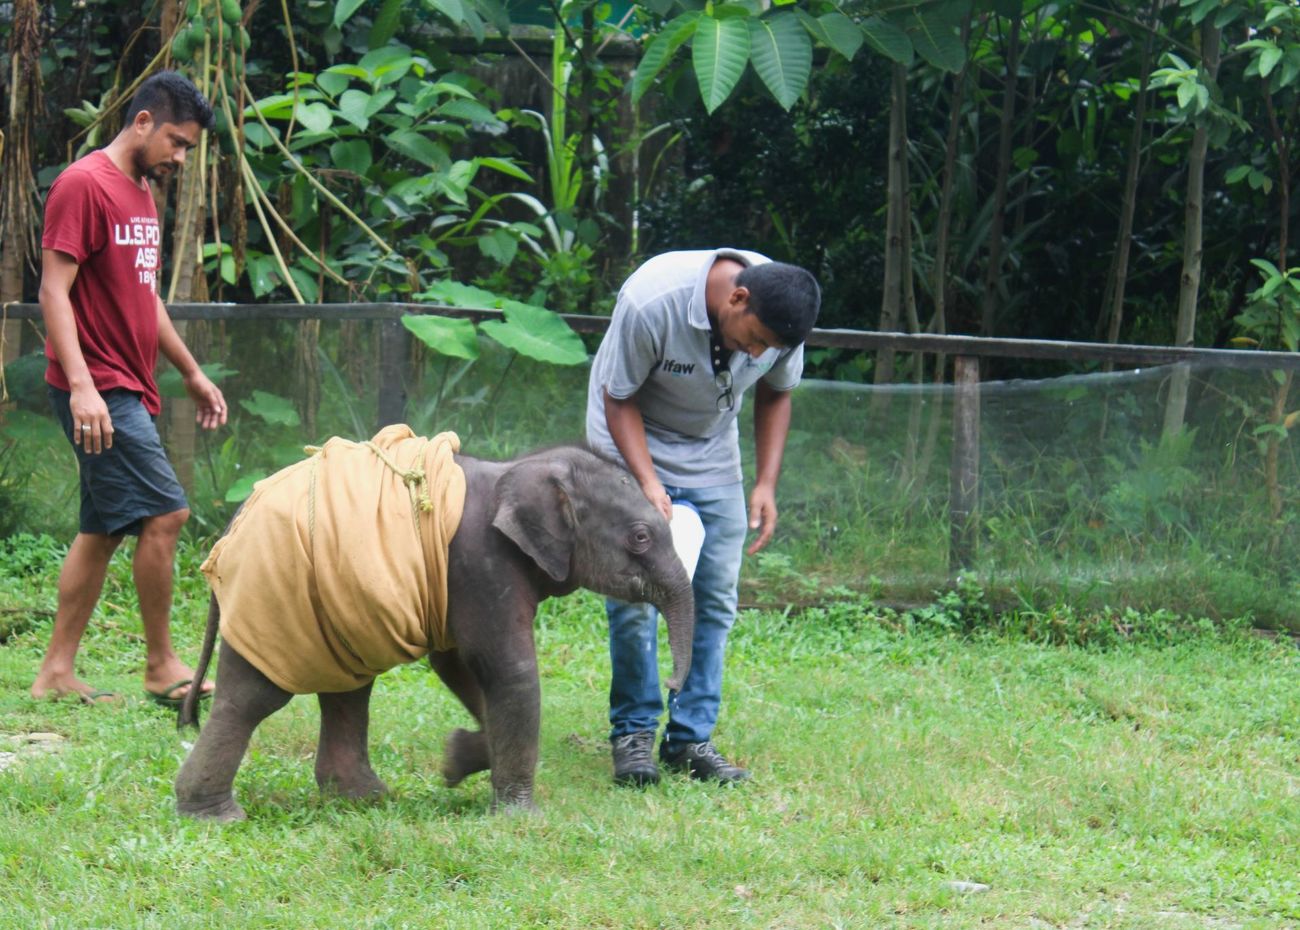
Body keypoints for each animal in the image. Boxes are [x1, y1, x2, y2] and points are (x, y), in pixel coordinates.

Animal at [180, 426, 702, 816]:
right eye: (640, 537)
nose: (672, 684)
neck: (519, 469)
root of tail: (232, 524)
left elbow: (459, 666)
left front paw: (457, 759)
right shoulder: (485, 562)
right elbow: (508, 670)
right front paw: (520, 815)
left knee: (347, 693)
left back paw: (365, 800)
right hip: (272, 593)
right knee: (254, 698)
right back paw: (215, 815)